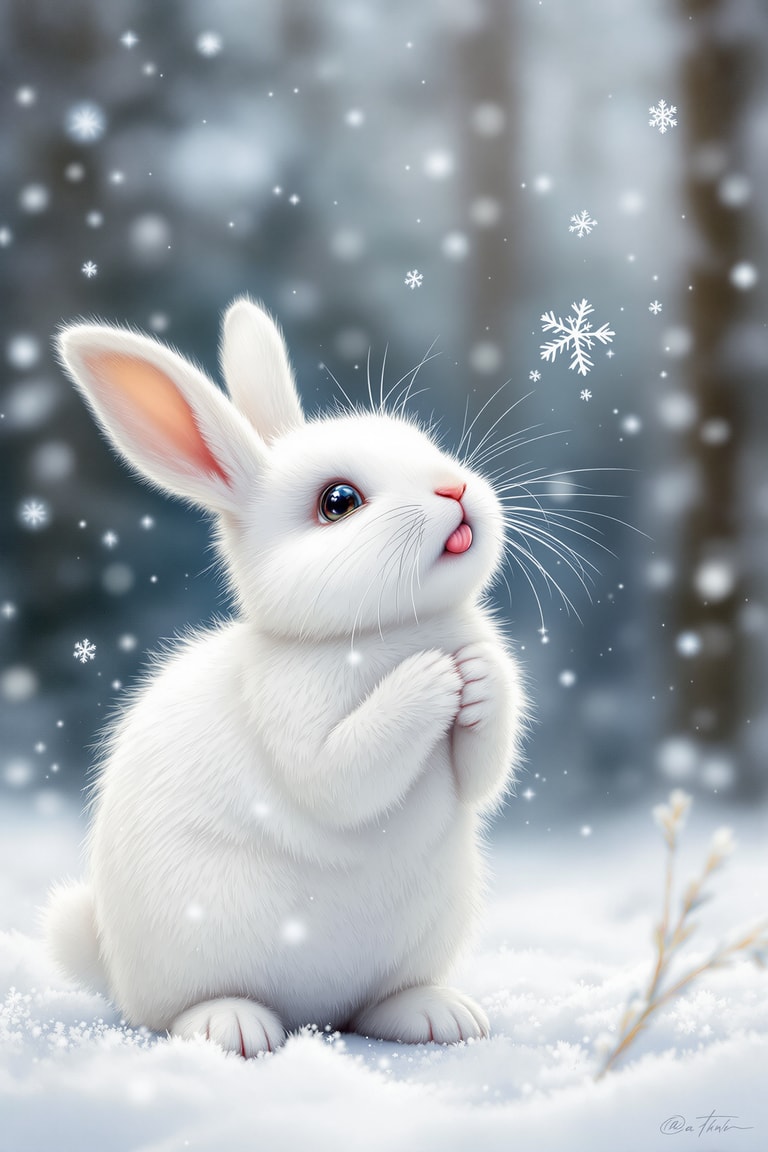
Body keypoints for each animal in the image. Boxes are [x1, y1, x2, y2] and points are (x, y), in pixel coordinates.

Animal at [43, 298, 528, 1057]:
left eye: (422, 443)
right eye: (339, 501)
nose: (455, 487)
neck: (392, 628)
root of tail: (313, 1014)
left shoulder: (474, 761)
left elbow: (484, 770)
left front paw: (479, 674)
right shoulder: (294, 717)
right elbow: (341, 776)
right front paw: (429, 678)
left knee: (375, 1004)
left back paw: (438, 1015)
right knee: (177, 1010)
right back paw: (233, 1026)